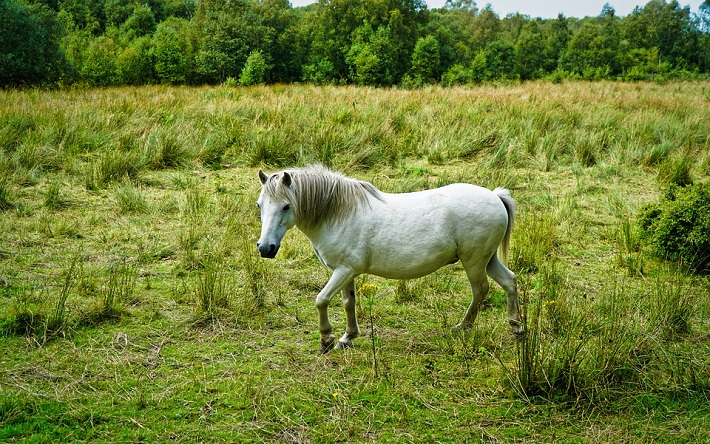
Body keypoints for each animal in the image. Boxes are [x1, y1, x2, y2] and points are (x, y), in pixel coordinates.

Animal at [256, 166, 524, 354]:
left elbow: (321, 300)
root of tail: (495, 196)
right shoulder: (346, 272)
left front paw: (327, 339)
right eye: (260, 205)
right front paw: (347, 337)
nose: (265, 248)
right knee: (509, 281)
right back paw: (516, 326)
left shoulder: (343, 271)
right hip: (487, 260)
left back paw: (463, 327)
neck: (338, 213)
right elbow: (348, 303)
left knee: (480, 290)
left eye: (286, 206)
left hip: (474, 261)